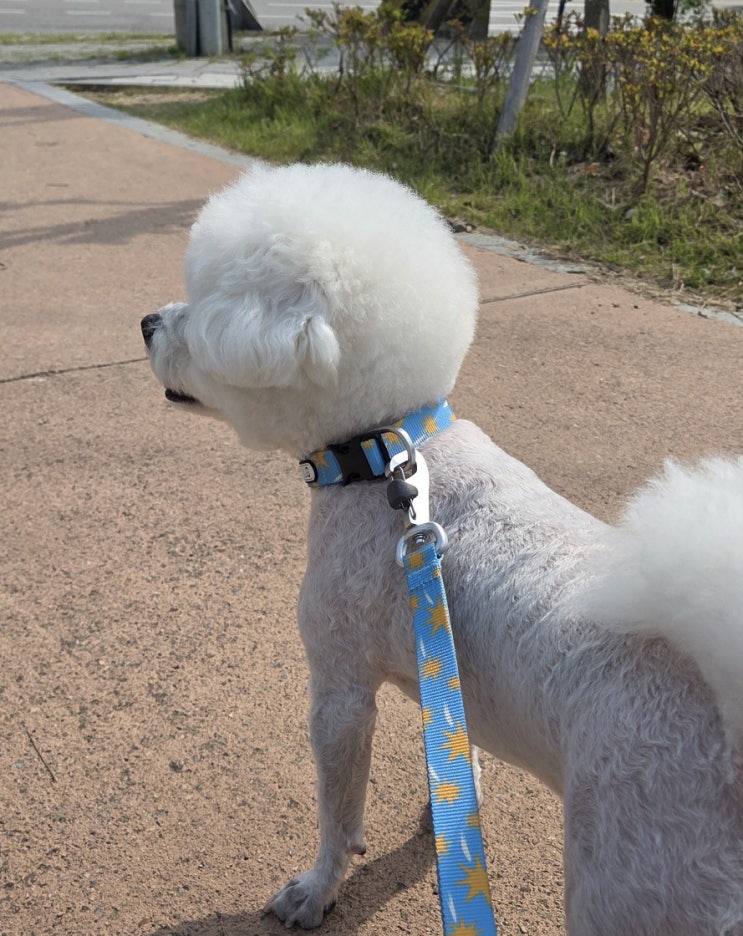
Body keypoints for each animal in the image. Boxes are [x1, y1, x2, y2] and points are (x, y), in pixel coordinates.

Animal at [141, 162, 743, 935]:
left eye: (207, 304)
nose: (147, 323)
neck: (386, 451)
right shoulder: (445, 664)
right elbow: (459, 747)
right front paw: (452, 806)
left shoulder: (339, 682)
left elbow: (338, 811)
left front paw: (316, 889)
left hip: (634, 883)